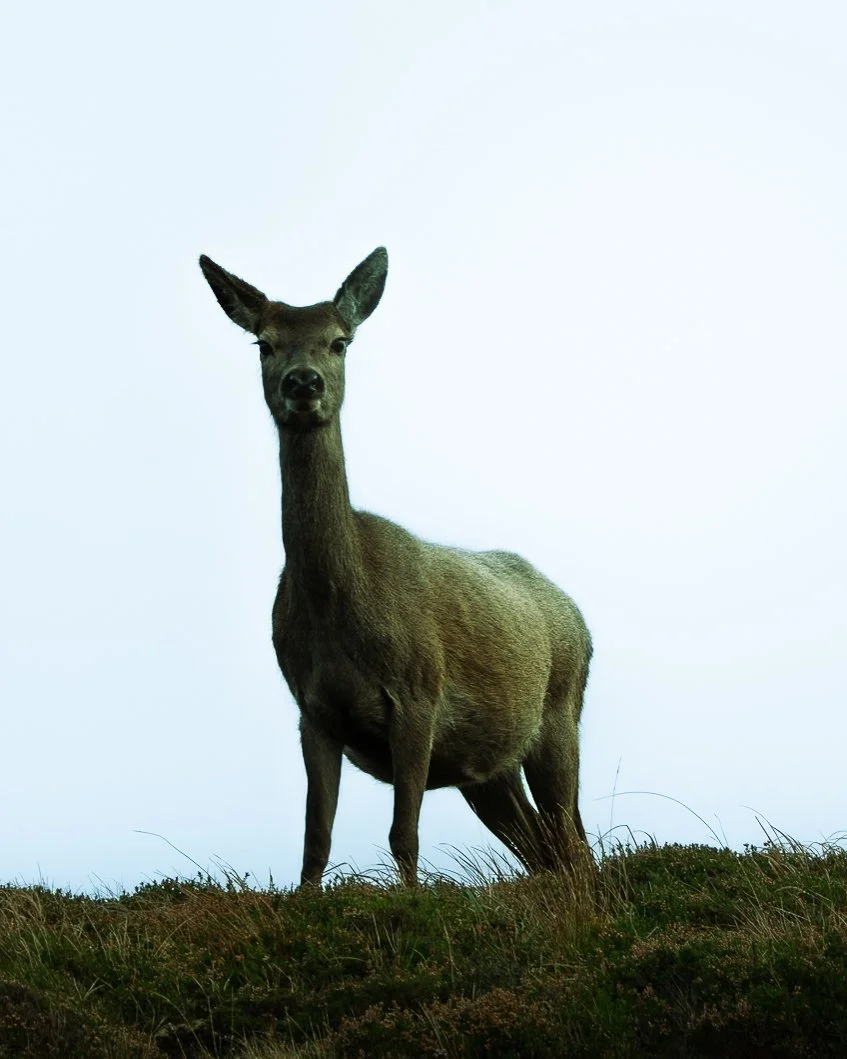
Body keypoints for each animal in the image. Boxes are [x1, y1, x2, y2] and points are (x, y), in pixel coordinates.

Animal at [198, 247, 593, 887]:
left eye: (340, 342)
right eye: (264, 342)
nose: (302, 382)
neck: (340, 608)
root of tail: (579, 620)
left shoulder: (417, 694)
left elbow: (403, 835)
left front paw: (411, 900)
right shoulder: (312, 711)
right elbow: (315, 839)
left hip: (561, 711)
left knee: (574, 843)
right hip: (486, 767)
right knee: (545, 851)